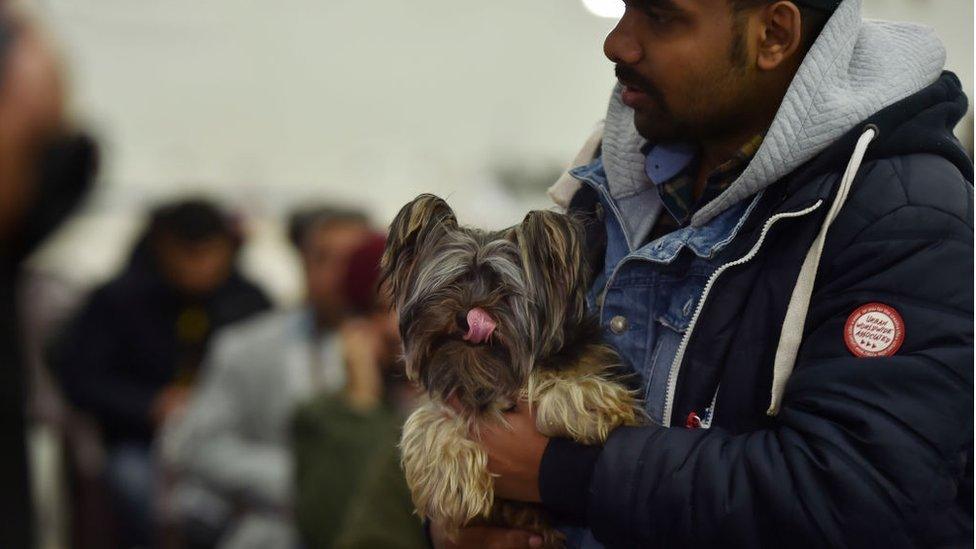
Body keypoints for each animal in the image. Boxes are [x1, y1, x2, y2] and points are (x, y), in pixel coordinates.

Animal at [382, 193, 640, 544]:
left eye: (503, 290)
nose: (467, 317)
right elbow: (427, 419)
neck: (488, 376)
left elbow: (565, 382)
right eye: (454, 283)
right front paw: (455, 482)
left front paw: (587, 405)